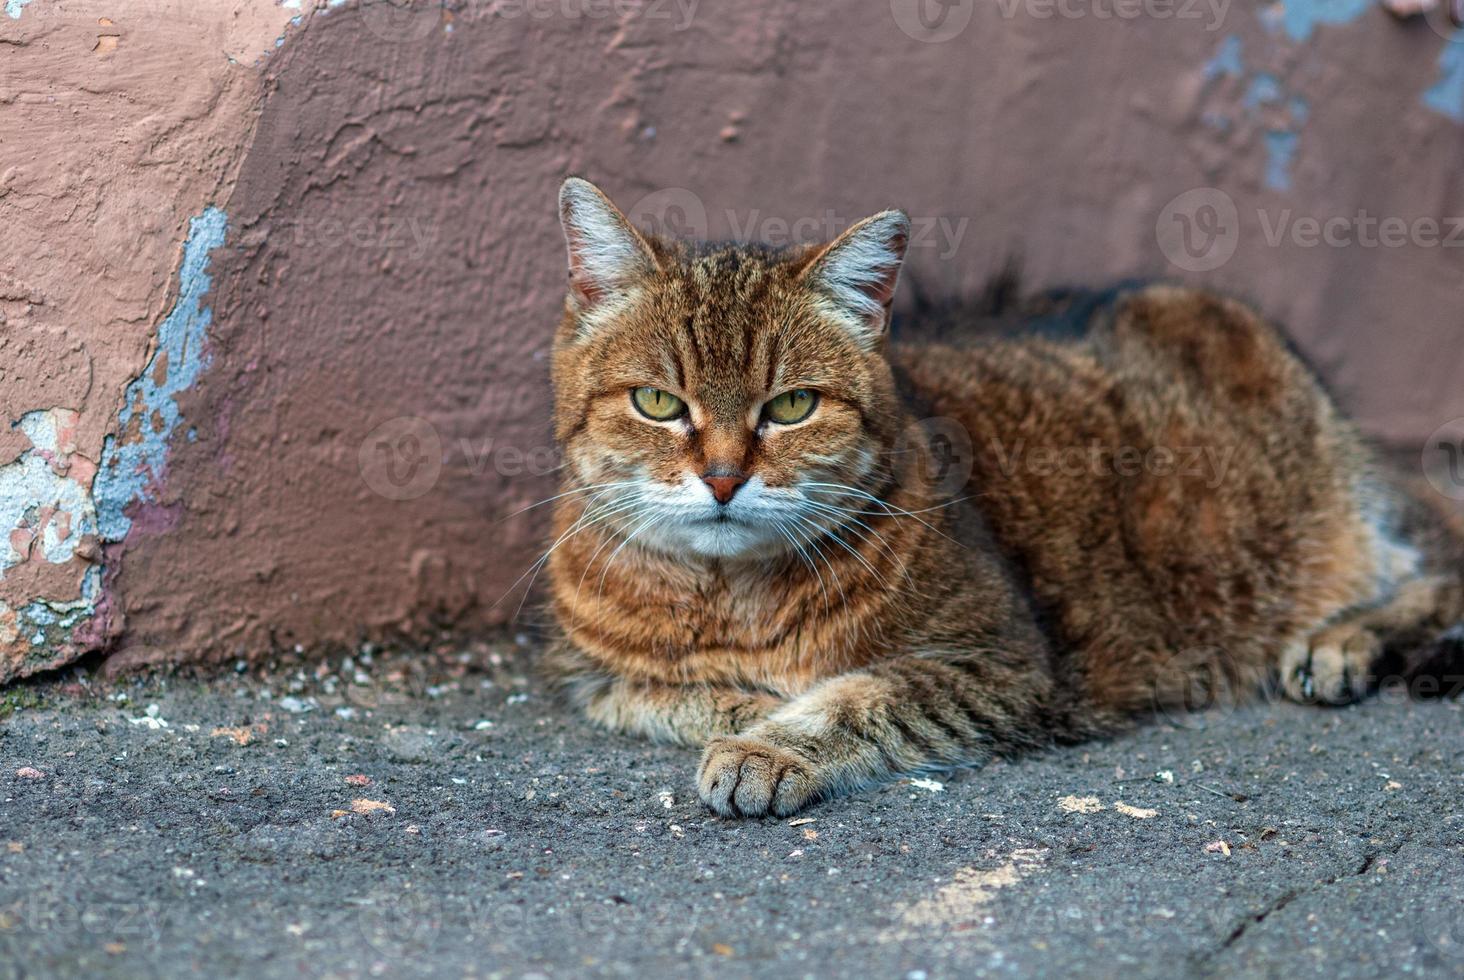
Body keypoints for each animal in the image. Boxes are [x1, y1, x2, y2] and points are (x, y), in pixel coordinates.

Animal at [541, 177, 1464, 820]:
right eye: (657, 403)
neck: (729, 597)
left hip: (1351, 521)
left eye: (792, 406)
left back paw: (1344, 640)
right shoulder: (590, 679)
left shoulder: (1002, 660)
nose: (726, 476)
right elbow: (672, 698)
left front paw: (769, 746)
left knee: (1443, 562)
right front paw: (747, 708)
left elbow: (856, 700)